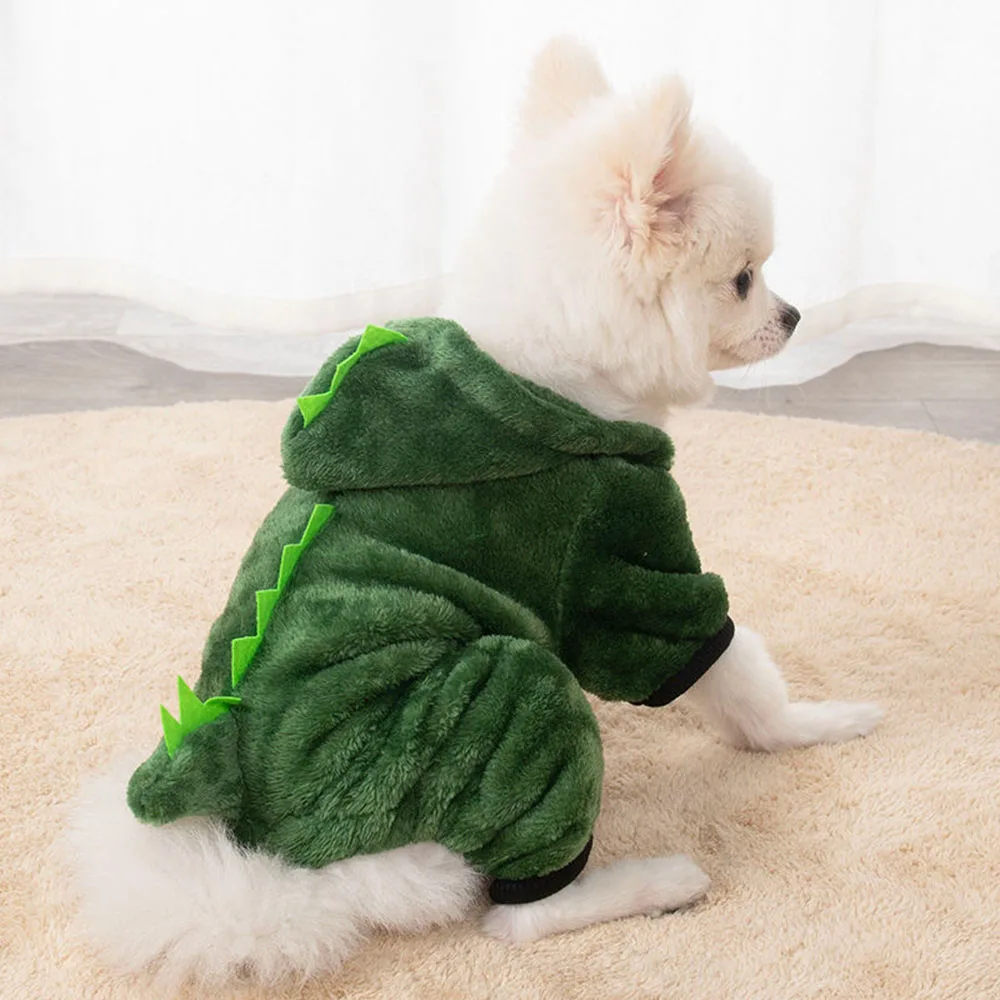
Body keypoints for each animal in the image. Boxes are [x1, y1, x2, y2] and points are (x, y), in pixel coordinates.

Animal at [67, 38, 882, 990]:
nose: (794, 314)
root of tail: (302, 869)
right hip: (506, 707)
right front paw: (820, 724)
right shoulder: (623, 552)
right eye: (744, 279)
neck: (535, 373)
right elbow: (736, 672)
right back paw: (653, 882)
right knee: (517, 914)